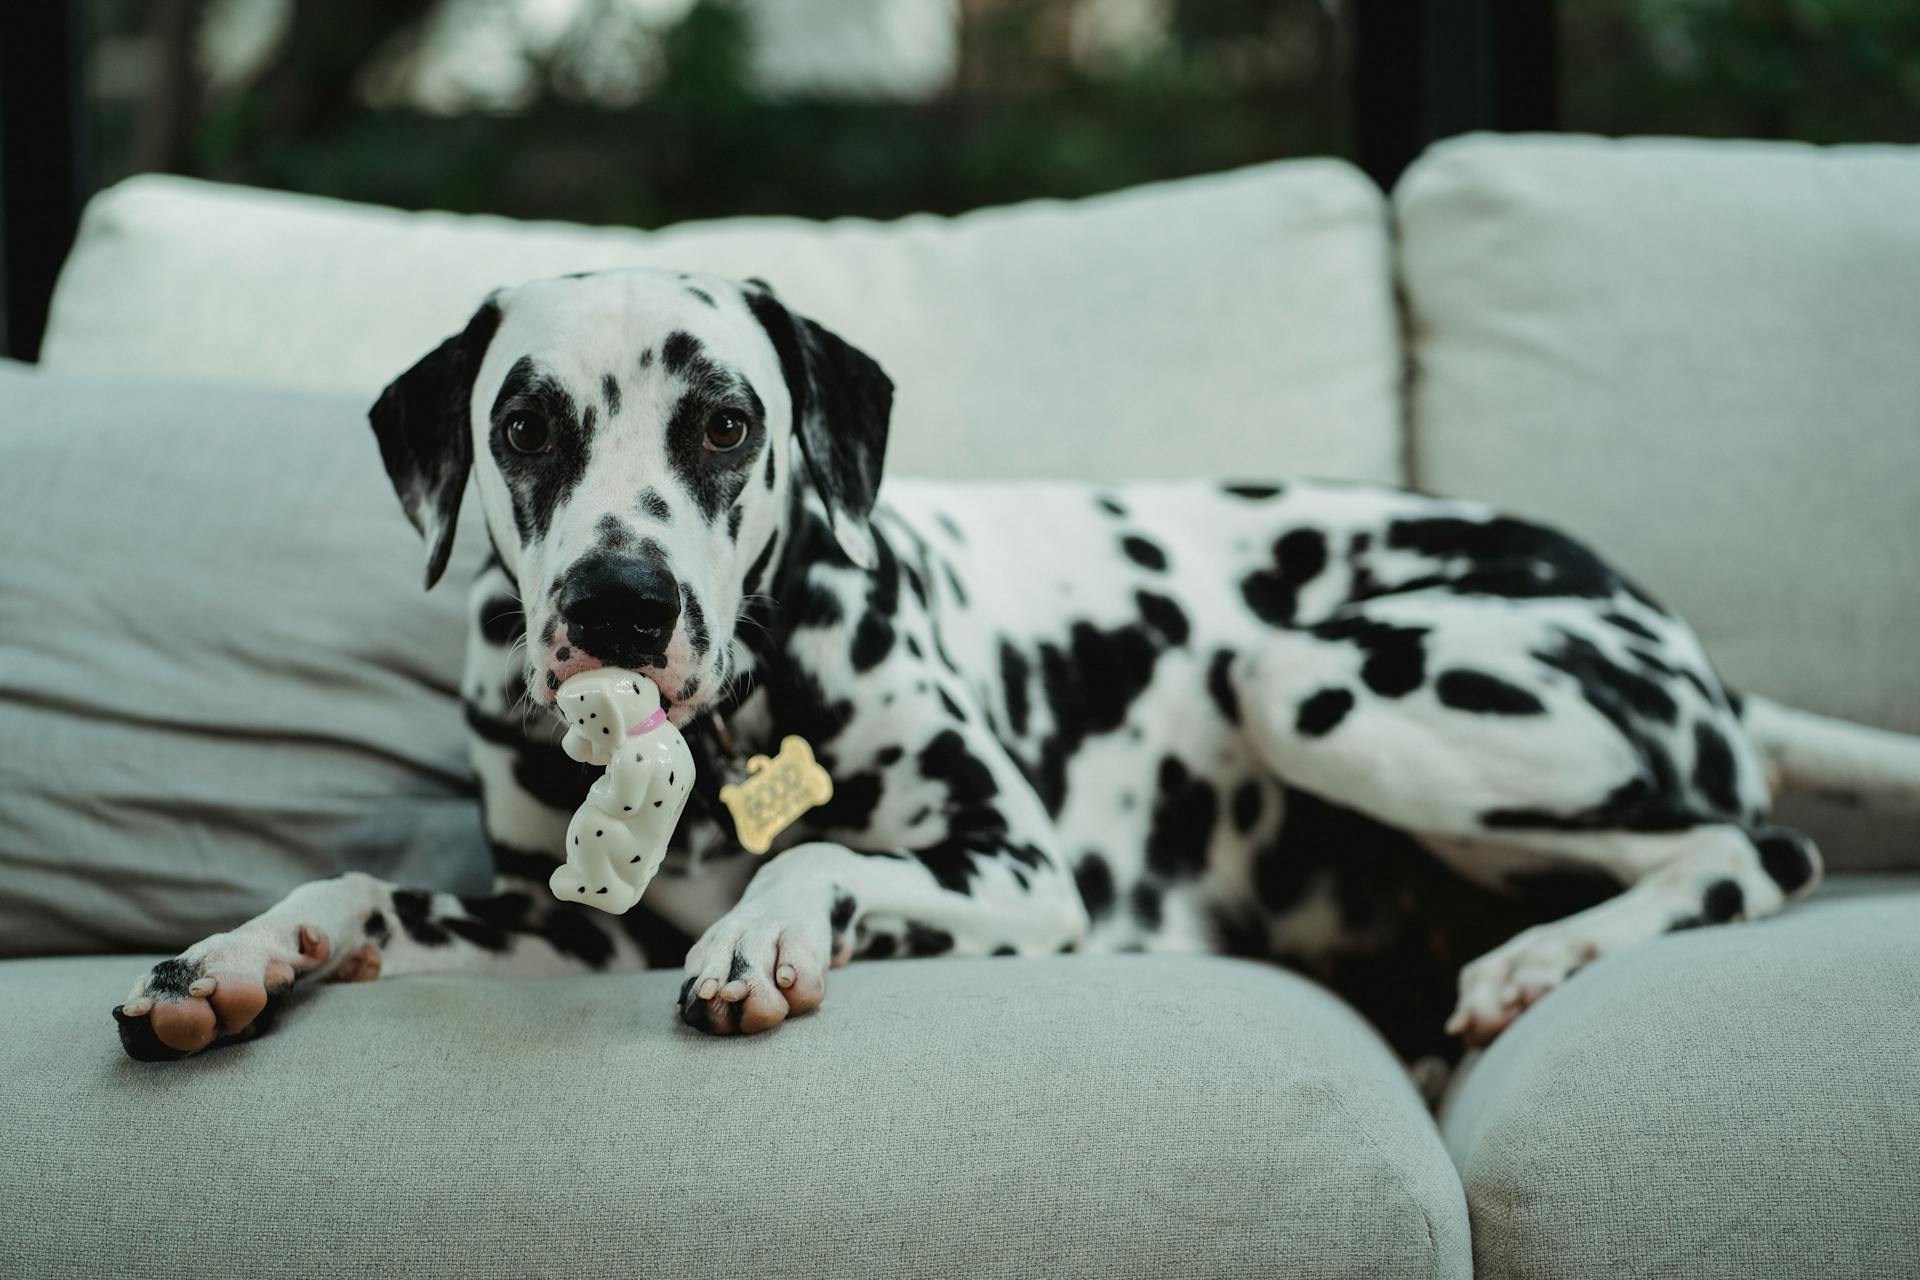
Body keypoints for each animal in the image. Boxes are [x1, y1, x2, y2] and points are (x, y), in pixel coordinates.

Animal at [116, 268, 1920, 1074]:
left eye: (726, 422)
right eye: (526, 426)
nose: (620, 605)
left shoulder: (1020, 870)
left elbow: (824, 857)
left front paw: (769, 932)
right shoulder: (561, 930)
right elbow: (358, 891)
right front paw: (239, 953)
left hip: (1316, 684)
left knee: (1752, 845)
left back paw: (1537, 965)